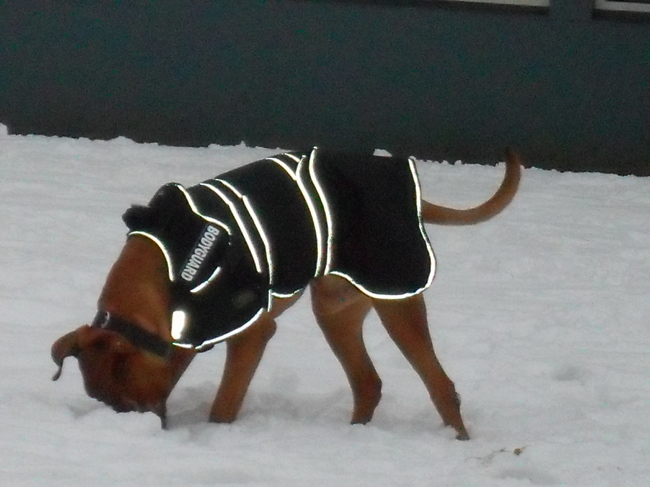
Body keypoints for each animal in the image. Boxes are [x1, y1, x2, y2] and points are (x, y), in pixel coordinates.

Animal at [50, 151, 520, 440]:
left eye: (127, 403)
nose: (140, 431)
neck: (166, 266)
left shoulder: (250, 333)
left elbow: (224, 404)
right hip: (335, 311)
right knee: (367, 382)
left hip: (397, 298)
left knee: (441, 386)